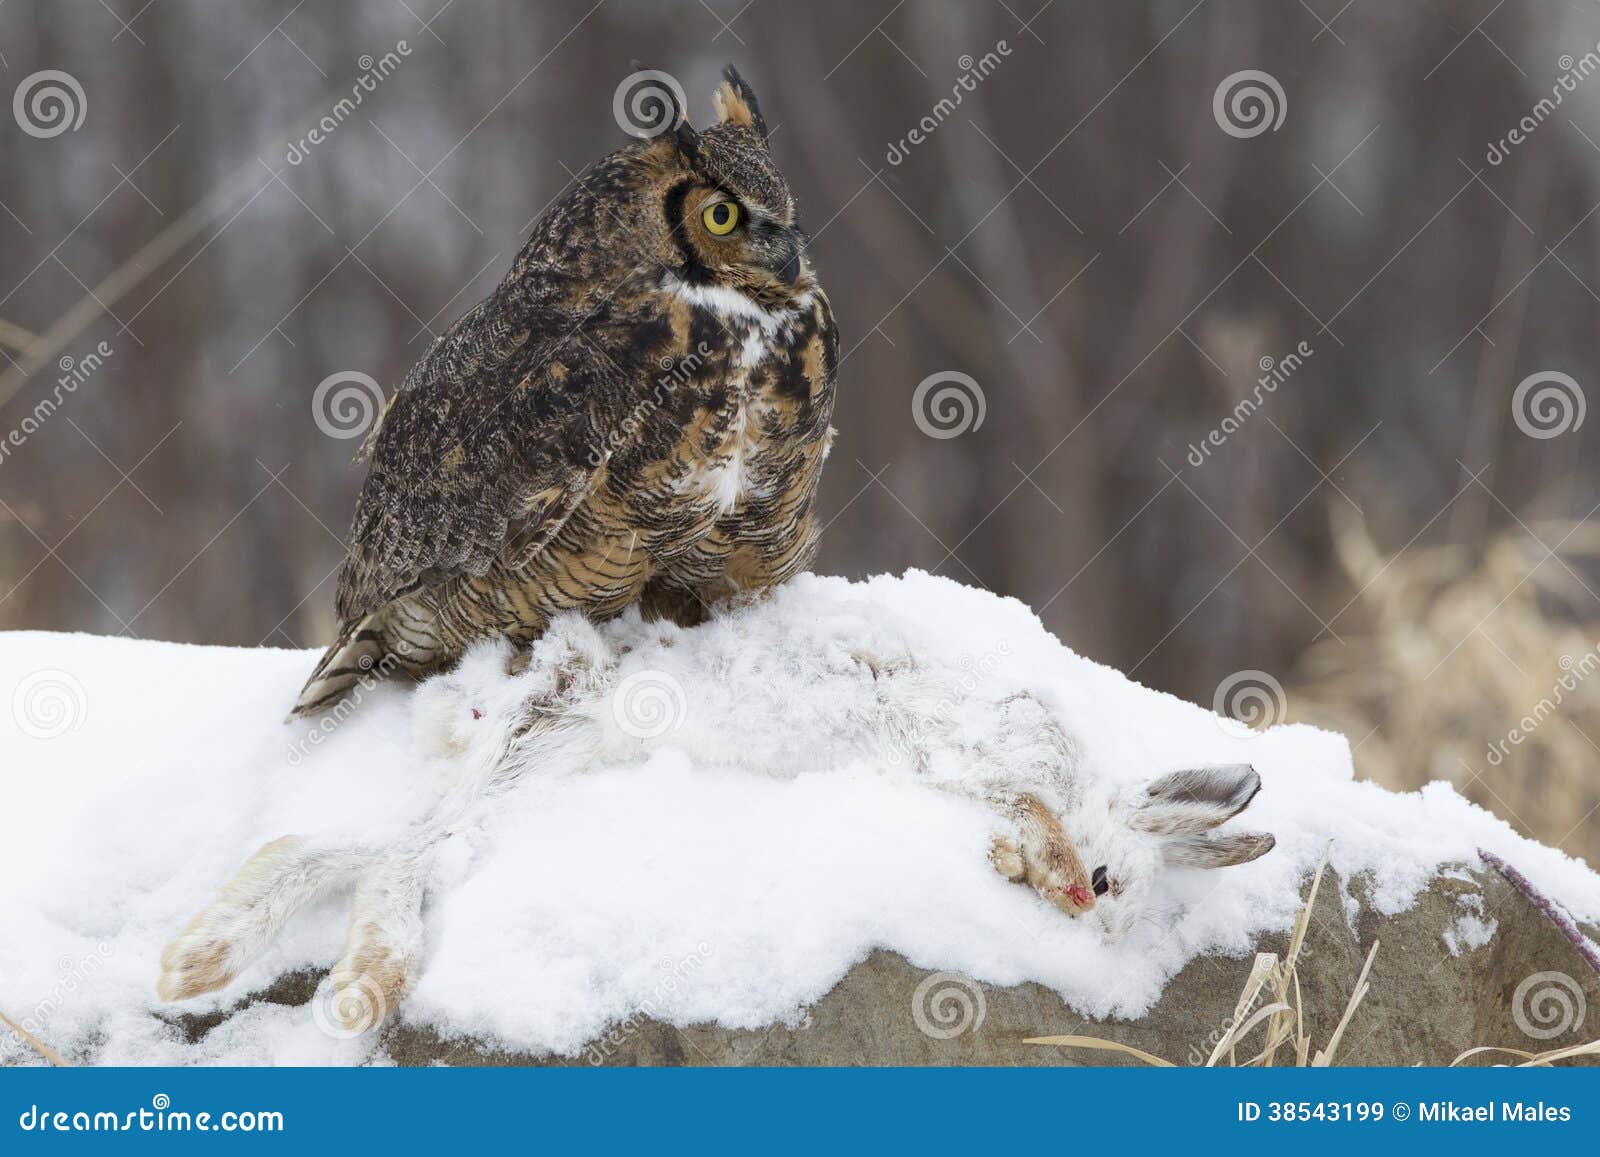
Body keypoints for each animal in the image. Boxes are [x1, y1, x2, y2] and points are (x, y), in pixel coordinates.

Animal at [158, 597, 1274, 1033]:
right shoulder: (977, 748)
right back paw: (354, 986)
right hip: (526, 764)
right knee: (394, 859)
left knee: (329, 845)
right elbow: (1029, 805)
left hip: (528, 773)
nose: (1081, 912)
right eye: (1107, 883)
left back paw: (199, 961)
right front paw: (1037, 859)